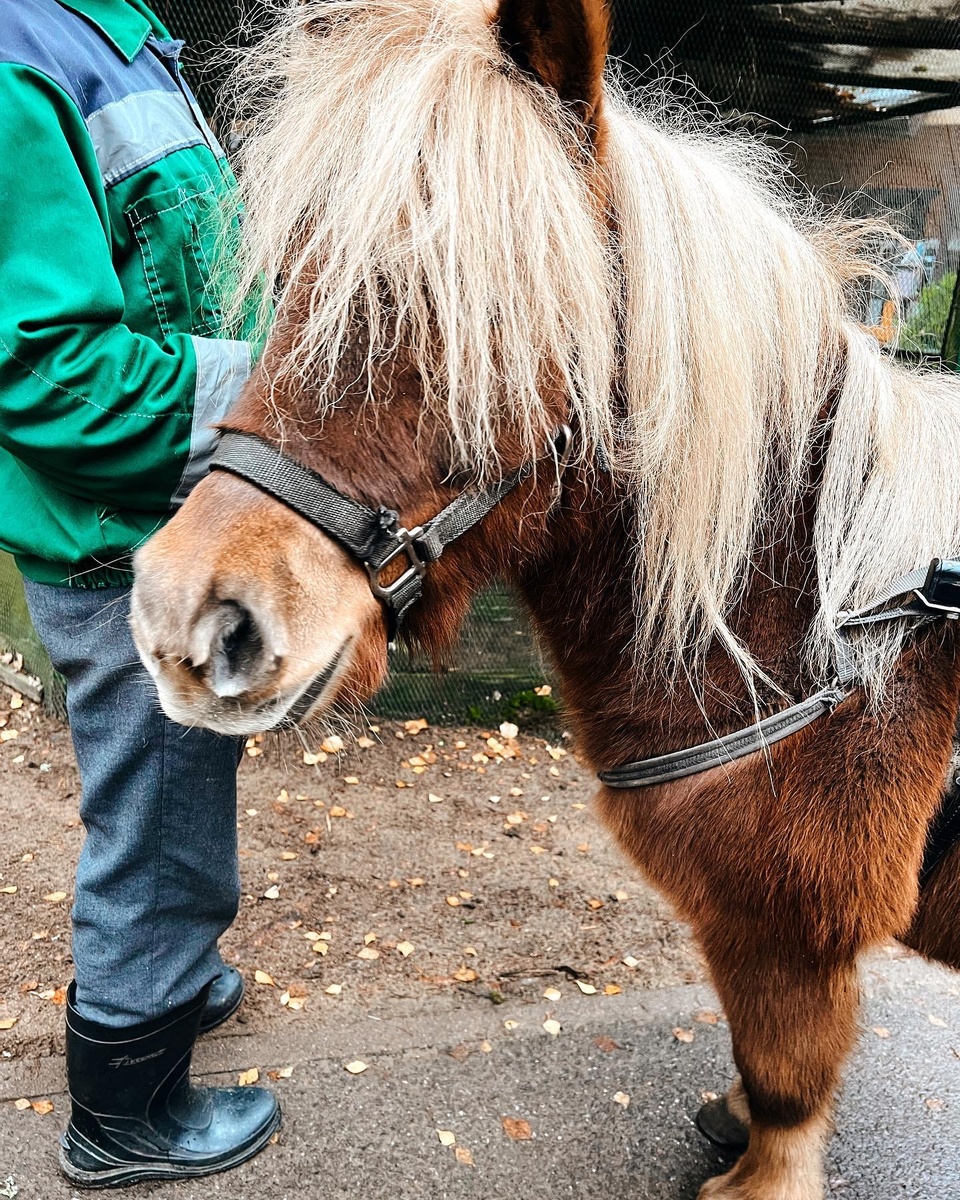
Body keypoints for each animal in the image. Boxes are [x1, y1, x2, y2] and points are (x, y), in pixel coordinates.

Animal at [131, 4, 960, 1195]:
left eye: (489, 315)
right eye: (297, 280)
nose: (186, 617)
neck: (831, 634)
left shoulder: (788, 936)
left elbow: (787, 1080)